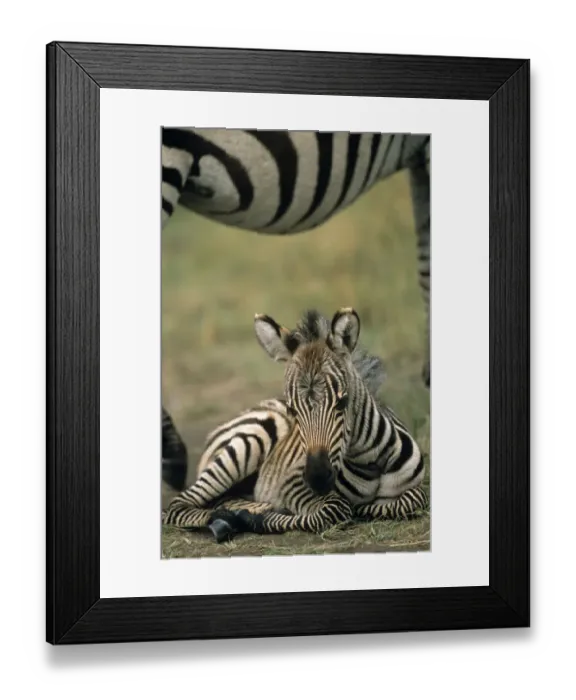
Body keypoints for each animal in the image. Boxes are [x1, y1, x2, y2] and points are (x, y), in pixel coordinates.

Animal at [162, 308, 428, 542]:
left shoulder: (416, 487)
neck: (370, 461)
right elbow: (334, 510)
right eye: (293, 410)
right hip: (249, 443)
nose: (317, 478)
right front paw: (260, 518)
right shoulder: (291, 485)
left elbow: (415, 499)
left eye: (342, 402)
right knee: (177, 506)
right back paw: (231, 517)